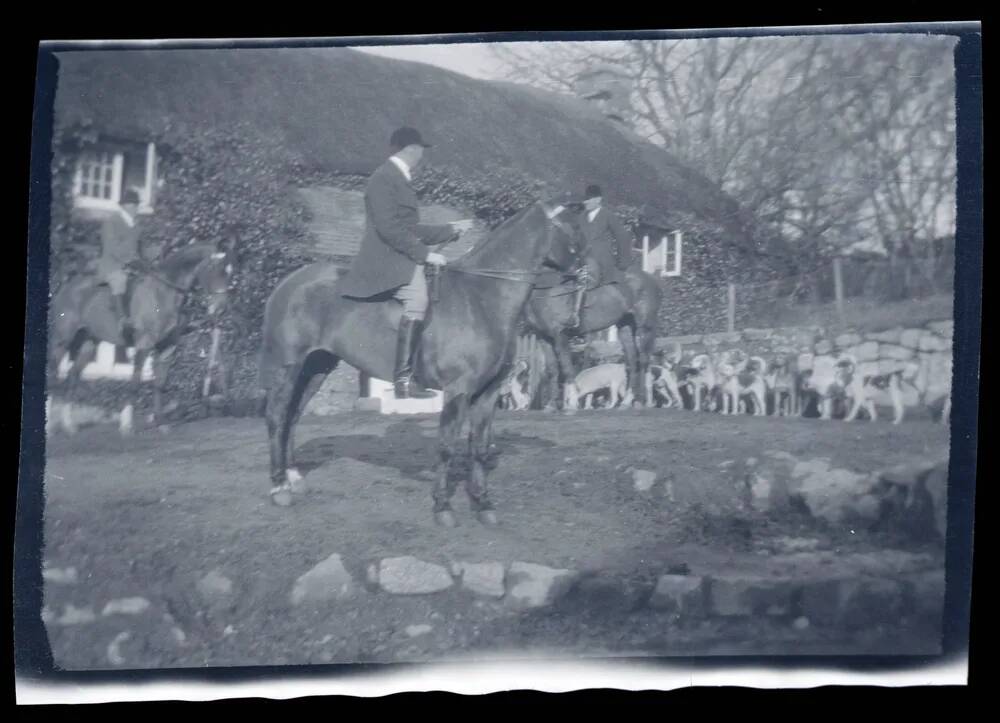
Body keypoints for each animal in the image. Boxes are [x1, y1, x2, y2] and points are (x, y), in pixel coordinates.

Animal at [47, 243, 235, 436]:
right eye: (216, 269)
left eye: (230, 272)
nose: (221, 308)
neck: (163, 293)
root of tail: (66, 287)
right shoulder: (144, 344)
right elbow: (135, 381)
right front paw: (127, 425)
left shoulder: (168, 348)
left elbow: (159, 384)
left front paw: (161, 423)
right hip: (62, 341)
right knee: (53, 376)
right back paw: (50, 427)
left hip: (88, 344)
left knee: (72, 377)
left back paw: (69, 426)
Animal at [262, 202, 584, 528]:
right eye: (573, 229)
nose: (583, 277)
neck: (481, 297)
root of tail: (289, 282)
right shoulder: (458, 391)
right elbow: (446, 446)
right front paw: (442, 506)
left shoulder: (488, 392)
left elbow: (478, 447)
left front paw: (483, 503)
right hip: (287, 366)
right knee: (277, 417)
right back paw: (278, 488)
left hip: (316, 368)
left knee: (293, 416)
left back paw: (293, 477)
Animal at [524, 266, 664, 412]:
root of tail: (651, 279)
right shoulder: (544, 337)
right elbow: (553, 369)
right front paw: (551, 404)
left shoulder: (560, 335)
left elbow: (567, 367)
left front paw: (572, 402)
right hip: (625, 326)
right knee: (632, 359)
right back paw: (627, 401)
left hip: (645, 327)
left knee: (644, 360)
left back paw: (642, 401)